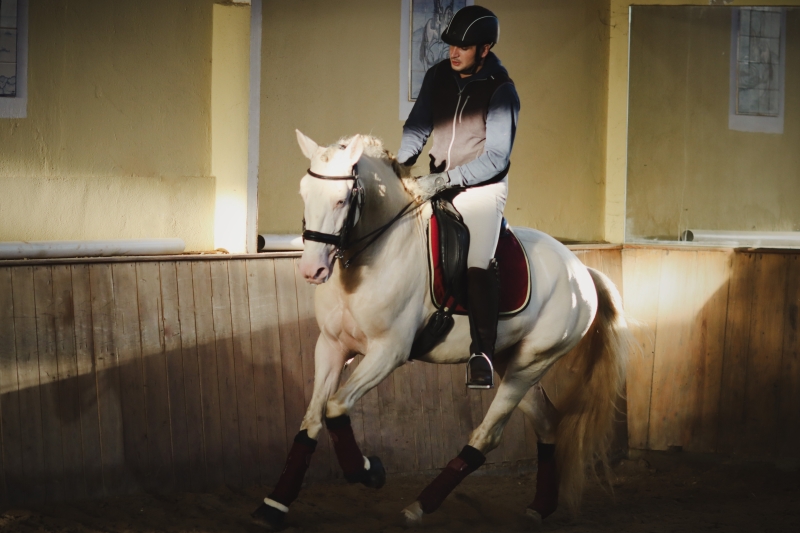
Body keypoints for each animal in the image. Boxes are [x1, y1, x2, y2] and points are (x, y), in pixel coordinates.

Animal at [252, 130, 632, 528]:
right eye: (302, 192)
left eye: (342, 198)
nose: (312, 270)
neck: (372, 257)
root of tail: (580, 270)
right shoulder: (331, 346)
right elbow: (311, 419)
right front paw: (275, 504)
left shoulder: (388, 352)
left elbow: (336, 407)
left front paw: (369, 471)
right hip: (514, 362)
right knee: (546, 421)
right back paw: (541, 506)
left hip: (532, 363)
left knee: (487, 435)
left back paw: (421, 505)